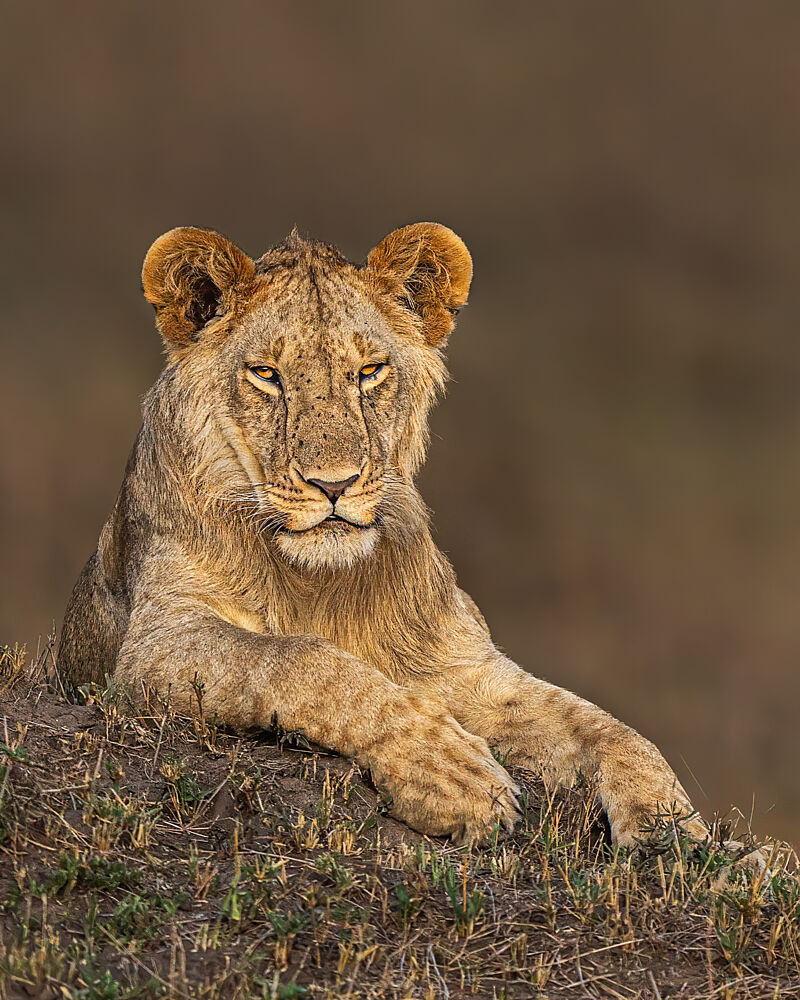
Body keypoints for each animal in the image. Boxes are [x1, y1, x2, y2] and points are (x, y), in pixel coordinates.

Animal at [59, 222, 710, 847]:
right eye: (266, 375)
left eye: (369, 371)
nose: (334, 484)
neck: (321, 583)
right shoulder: (154, 646)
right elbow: (304, 660)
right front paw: (456, 779)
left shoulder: (461, 665)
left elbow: (600, 724)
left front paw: (671, 826)